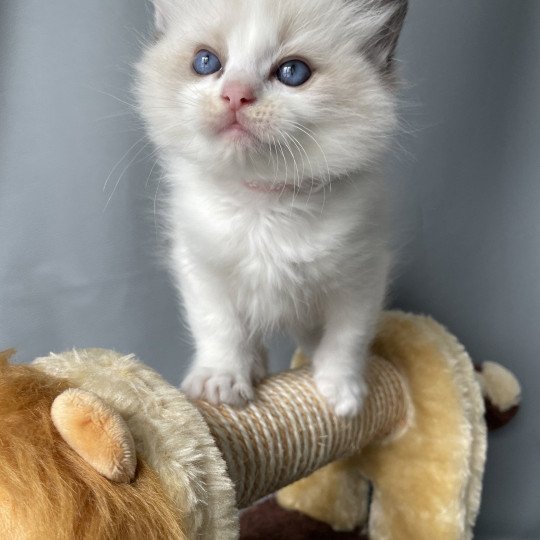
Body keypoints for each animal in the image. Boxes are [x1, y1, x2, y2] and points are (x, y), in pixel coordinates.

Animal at [137, 0, 408, 416]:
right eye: (206, 62)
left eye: (293, 72)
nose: (235, 95)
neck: (263, 202)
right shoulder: (201, 268)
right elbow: (220, 328)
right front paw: (222, 380)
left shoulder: (362, 274)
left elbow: (347, 336)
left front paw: (341, 392)